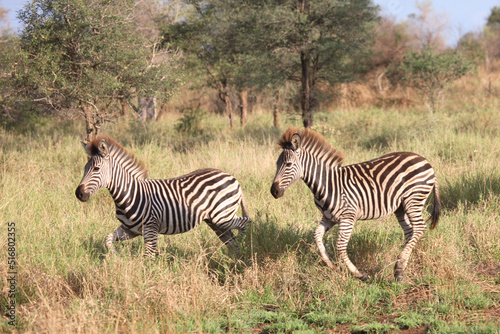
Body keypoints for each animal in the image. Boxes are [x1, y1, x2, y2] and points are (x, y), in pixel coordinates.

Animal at [74, 137, 252, 258]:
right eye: (84, 168)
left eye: (96, 169)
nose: (79, 194)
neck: (130, 194)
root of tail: (231, 176)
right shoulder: (130, 230)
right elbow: (108, 239)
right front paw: (116, 257)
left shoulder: (150, 229)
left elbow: (148, 257)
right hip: (215, 222)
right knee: (230, 239)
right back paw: (234, 257)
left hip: (222, 216)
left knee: (246, 223)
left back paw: (243, 247)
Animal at [270, 128, 442, 282]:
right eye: (277, 164)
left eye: (288, 164)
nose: (274, 191)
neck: (327, 184)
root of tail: (425, 160)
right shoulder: (329, 217)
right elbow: (317, 236)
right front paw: (333, 266)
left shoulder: (348, 216)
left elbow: (340, 246)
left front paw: (359, 274)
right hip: (401, 207)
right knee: (410, 231)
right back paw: (400, 270)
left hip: (414, 199)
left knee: (419, 228)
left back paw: (399, 265)